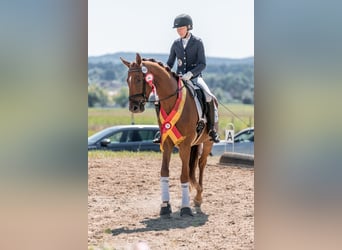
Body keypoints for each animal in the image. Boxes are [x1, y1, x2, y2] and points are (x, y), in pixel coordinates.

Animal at [121, 52, 215, 217]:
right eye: (127, 80)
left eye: (138, 79)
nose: (134, 107)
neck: (171, 100)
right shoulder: (167, 143)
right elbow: (164, 172)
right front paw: (165, 206)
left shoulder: (185, 145)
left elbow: (184, 175)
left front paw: (185, 208)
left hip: (207, 142)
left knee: (201, 164)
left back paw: (198, 198)